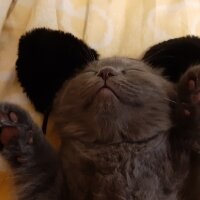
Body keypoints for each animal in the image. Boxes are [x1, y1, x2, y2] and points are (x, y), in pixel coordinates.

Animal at [0, 57, 200, 199]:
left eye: (132, 70)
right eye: (91, 71)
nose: (106, 72)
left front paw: (194, 97)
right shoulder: (51, 191)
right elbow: (43, 167)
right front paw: (17, 132)